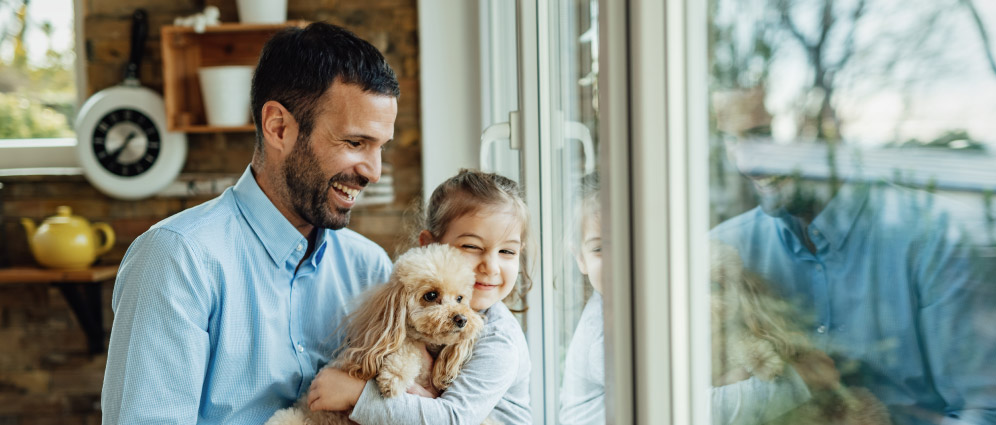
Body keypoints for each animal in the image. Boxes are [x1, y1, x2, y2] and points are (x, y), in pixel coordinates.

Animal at [264, 243, 482, 424]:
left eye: (460, 298)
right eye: (431, 295)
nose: (461, 319)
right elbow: (408, 347)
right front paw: (394, 378)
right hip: (287, 418)